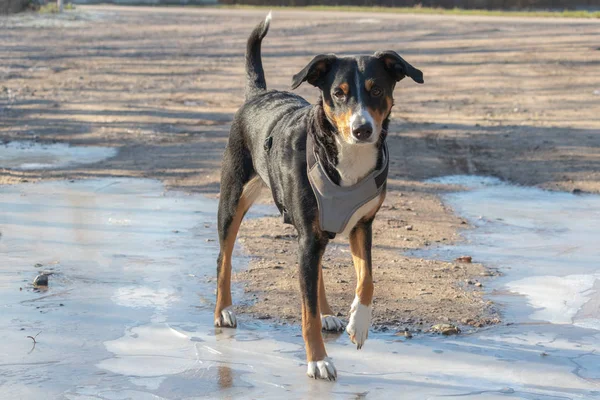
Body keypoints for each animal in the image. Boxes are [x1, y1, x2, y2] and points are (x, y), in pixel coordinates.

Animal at [213, 13, 424, 382]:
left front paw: (359, 325)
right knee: (223, 258)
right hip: (233, 200)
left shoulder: (362, 225)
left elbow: (367, 280)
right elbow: (306, 310)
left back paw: (328, 314)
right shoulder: (309, 238)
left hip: (315, 231)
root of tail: (259, 94)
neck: (346, 157)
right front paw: (318, 361)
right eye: (338, 93)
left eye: (377, 90)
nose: (362, 129)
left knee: (317, 274)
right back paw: (222, 311)